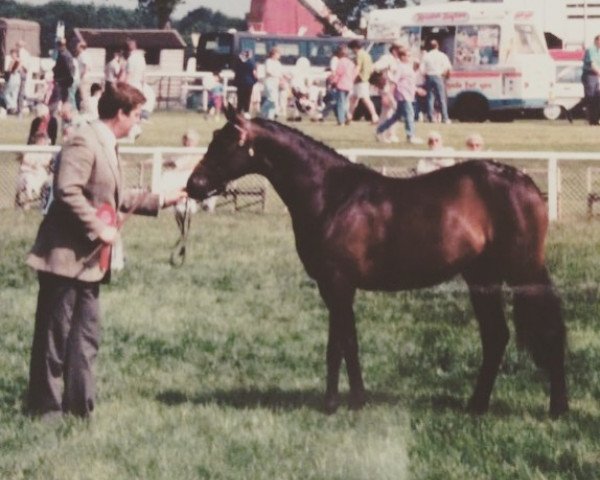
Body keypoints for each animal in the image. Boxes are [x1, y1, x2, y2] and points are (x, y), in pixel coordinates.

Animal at [186, 109, 568, 416]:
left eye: (224, 143)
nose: (193, 185)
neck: (332, 196)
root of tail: (525, 183)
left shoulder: (338, 284)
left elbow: (341, 344)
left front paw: (342, 403)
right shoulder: (334, 288)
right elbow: (342, 343)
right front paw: (346, 400)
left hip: (523, 272)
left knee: (548, 330)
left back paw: (557, 408)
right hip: (481, 277)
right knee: (496, 336)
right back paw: (476, 406)